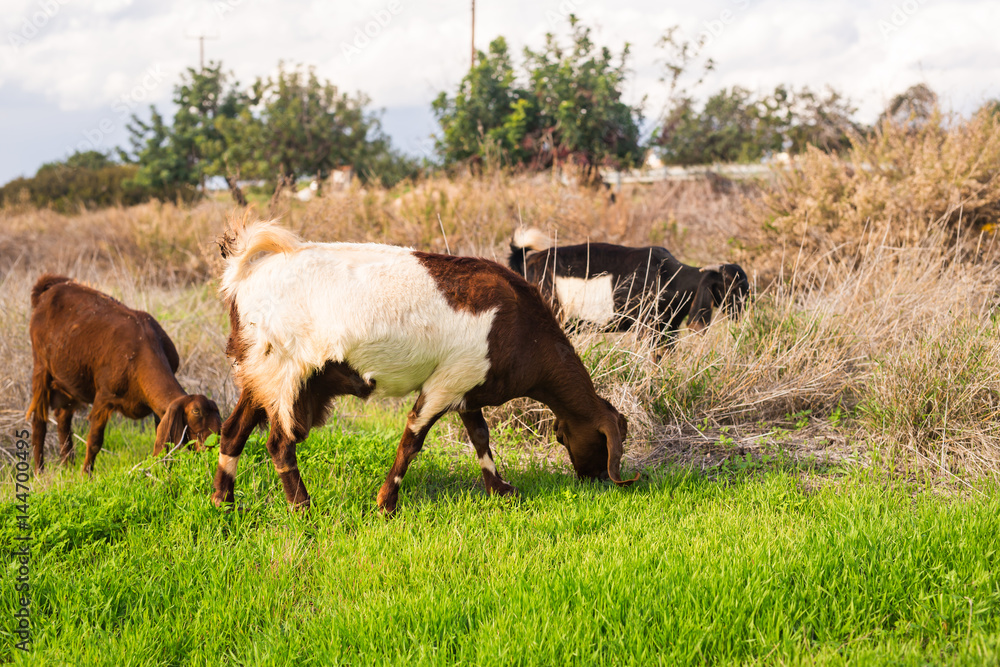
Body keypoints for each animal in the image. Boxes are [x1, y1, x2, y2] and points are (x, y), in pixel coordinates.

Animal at [27, 276, 223, 474]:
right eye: (196, 411)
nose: (214, 445)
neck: (139, 353)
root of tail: (49, 289)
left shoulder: (158, 408)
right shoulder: (104, 398)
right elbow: (94, 442)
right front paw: (85, 476)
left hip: (71, 380)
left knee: (62, 417)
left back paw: (68, 465)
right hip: (41, 366)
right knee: (39, 421)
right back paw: (39, 472)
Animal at [214, 217, 636, 516]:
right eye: (600, 440)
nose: (595, 478)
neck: (521, 326)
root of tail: (248, 270)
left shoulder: (467, 387)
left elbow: (480, 437)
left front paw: (500, 491)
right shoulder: (445, 384)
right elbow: (412, 441)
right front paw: (386, 503)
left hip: (257, 372)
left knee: (233, 431)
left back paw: (223, 502)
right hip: (286, 373)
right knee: (279, 443)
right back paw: (302, 508)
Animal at [508, 230, 752, 344]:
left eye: (746, 287)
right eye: (730, 285)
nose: (742, 311)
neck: (669, 276)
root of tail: (528, 264)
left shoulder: (668, 328)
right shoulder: (646, 325)